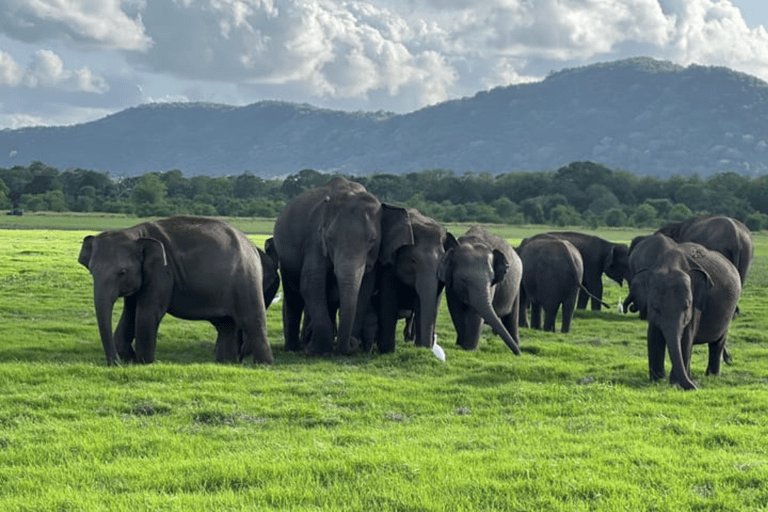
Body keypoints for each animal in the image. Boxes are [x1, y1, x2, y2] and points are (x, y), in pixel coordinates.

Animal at [78, 214, 274, 366]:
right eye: (91, 270)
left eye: (122, 272)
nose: (114, 364)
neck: (135, 233)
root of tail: (252, 247)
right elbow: (130, 313)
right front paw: (130, 358)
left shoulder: (163, 271)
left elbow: (147, 312)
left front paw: (144, 363)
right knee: (226, 326)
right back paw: (225, 363)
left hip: (247, 279)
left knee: (252, 321)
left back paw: (263, 365)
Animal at [272, 176, 414, 356]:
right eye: (330, 238)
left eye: (372, 240)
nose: (352, 343)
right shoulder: (315, 241)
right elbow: (312, 284)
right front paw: (320, 349)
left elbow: (365, 288)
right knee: (294, 297)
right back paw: (295, 347)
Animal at [376, 207, 452, 352]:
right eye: (413, 260)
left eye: (442, 262)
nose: (429, 346)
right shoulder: (388, 264)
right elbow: (388, 297)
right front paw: (387, 350)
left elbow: (425, 303)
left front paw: (420, 347)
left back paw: (409, 338)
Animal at [438, 226, 520, 354]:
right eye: (462, 280)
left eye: (491, 279)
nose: (519, 354)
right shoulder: (451, 283)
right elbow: (456, 309)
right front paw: (460, 345)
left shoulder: (491, 287)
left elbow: (475, 313)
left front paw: (469, 349)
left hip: (516, 287)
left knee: (512, 316)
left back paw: (516, 343)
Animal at [624, 234, 744, 390]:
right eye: (654, 306)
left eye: (686, 306)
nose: (696, 385)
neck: (671, 264)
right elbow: (653, 336)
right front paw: (657, 380)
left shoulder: (697, 303)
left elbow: (686, 337)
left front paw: (675, 382)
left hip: (728, 312)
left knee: (718, 340)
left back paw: (711, 375)